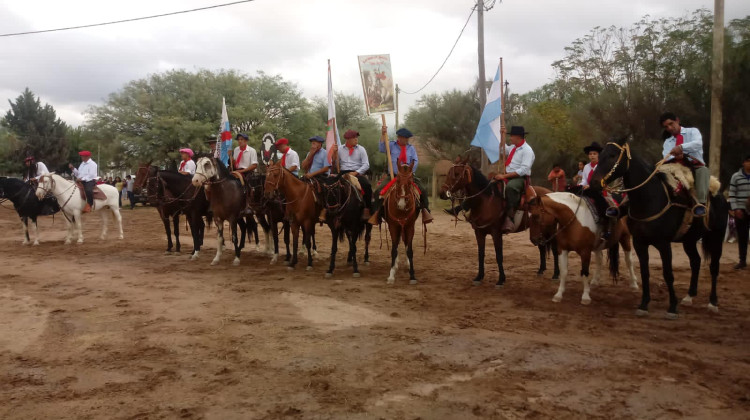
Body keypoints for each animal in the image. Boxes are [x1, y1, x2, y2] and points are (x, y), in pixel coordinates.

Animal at [592, 138, 728, 318]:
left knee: (714, 267)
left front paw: (672, 307)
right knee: (696, 262)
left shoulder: (664, 244)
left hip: (716, 237)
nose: (593, 182)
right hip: (689, 240)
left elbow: (668, 274)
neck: (650, 198)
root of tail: (720, 195)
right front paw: (643, 305)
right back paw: (689, 297)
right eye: (600, 155)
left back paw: (712, 303)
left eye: (612, 155)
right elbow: (645, 272)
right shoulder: (639, 243)